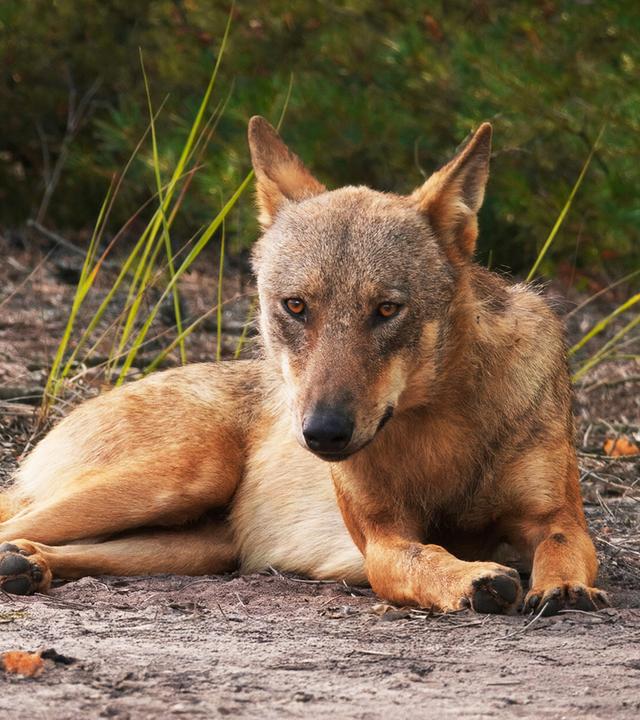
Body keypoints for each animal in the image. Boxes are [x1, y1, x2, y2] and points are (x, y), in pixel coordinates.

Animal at [0, 117, 607, 615]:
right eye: (296, 306)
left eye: (387, 309)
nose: (322, 433)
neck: (440, 428)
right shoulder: (383, 540)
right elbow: (424, 557)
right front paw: (475, 579)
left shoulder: (556, 517)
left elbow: (563, 545)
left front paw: (564, 587)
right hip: (183, 475)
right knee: (13, 520)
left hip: (200, 545)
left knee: (42, 542)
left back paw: (27, 564)